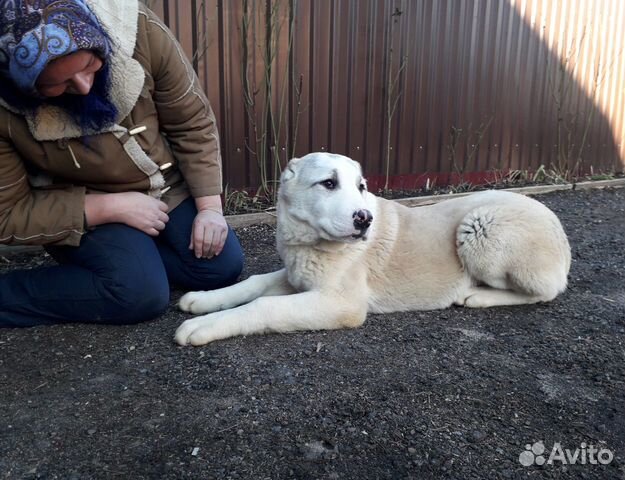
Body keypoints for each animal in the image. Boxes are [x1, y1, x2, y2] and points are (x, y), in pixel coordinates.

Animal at [173, 154, 568, 344]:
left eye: (361, 186)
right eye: (328, 183)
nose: (364, 220)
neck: (309, 241)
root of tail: (560, 229)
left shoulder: (340, 303)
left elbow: (262, 305)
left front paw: (203, 327)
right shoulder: (295, 277)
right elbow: (252, 284)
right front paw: (204, 300)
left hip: (478, 227)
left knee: (544, 292)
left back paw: (477, 296)